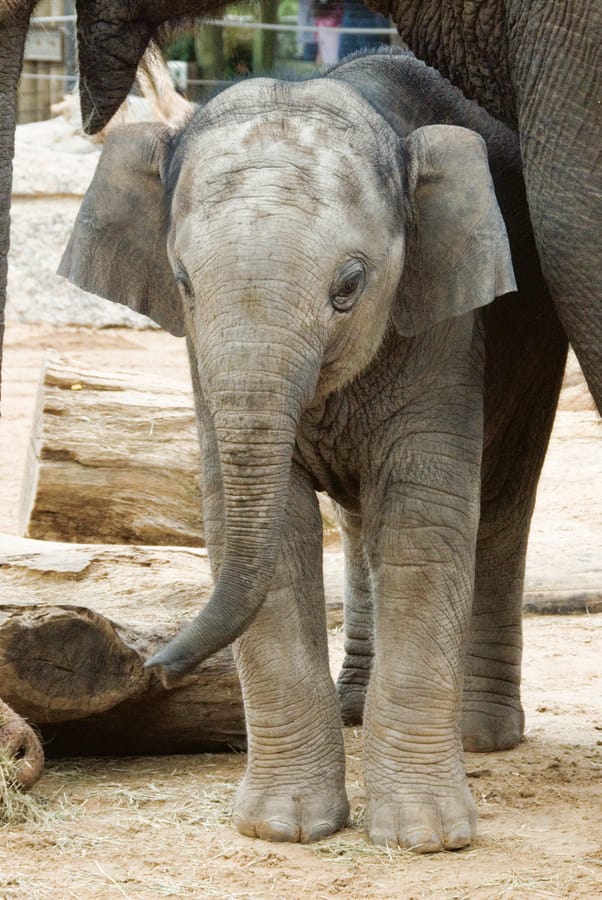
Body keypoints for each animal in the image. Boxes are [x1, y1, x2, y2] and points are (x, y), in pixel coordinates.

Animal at [0, 0, 595, 793]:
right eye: (183, 282)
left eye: (350, 286)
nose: (155, 669)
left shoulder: (444, 325)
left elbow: (423, 500)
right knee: (359, 520)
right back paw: (356, 708)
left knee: (497, 504)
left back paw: (480, 736)